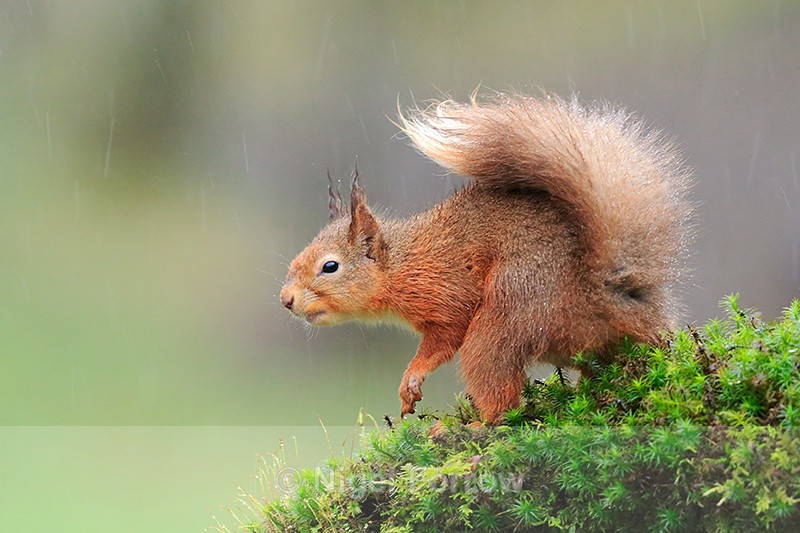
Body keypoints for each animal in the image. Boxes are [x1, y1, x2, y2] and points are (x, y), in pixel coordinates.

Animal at [280, 92, 692, 424]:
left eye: (330, 266)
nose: (285, 300)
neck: (402, 264)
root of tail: (605, 293)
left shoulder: (445, 291)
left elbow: (445, 336)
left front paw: (411, 379)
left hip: (507, 318)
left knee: (501, 401)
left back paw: (470, 427)